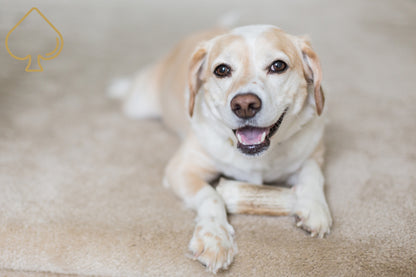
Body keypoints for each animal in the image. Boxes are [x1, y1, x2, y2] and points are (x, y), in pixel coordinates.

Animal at [109, 24, 334, 272]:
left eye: (278, 66)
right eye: (222, 70)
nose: (244, 105)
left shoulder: (314, 152)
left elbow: (313, 173)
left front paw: (314, 206)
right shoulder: (181, 170)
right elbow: (211, 196)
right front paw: (214, 237)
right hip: (138, 105)